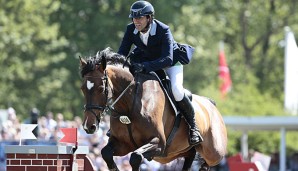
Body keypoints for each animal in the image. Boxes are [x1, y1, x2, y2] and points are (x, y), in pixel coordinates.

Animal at [80, 47, 227, 170]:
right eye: (82, 89)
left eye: (101, 88)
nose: (88, 126)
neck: (128, 106)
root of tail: (211, 104)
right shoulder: (122, 144)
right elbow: (106, 153)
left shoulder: (158, 142)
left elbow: (135, 157)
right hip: (178, 153)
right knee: (190, 158)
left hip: (214, 153)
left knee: (208, 162)